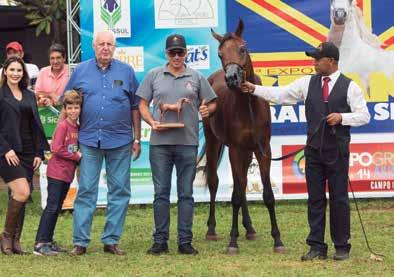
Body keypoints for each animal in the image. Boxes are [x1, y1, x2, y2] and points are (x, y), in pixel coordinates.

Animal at [205, 18, 284, 253]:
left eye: (242, 48)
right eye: (220, 53)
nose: (232, 78)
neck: (249, 105)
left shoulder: (263, 149)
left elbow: (267, 195)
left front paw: (277, 240)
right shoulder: (235, 149)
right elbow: (236, 196)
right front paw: (232, 241)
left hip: (247, 152)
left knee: (242, 182)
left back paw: (249, 228)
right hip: (213, 141)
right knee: (215, 181)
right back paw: (211, 230)